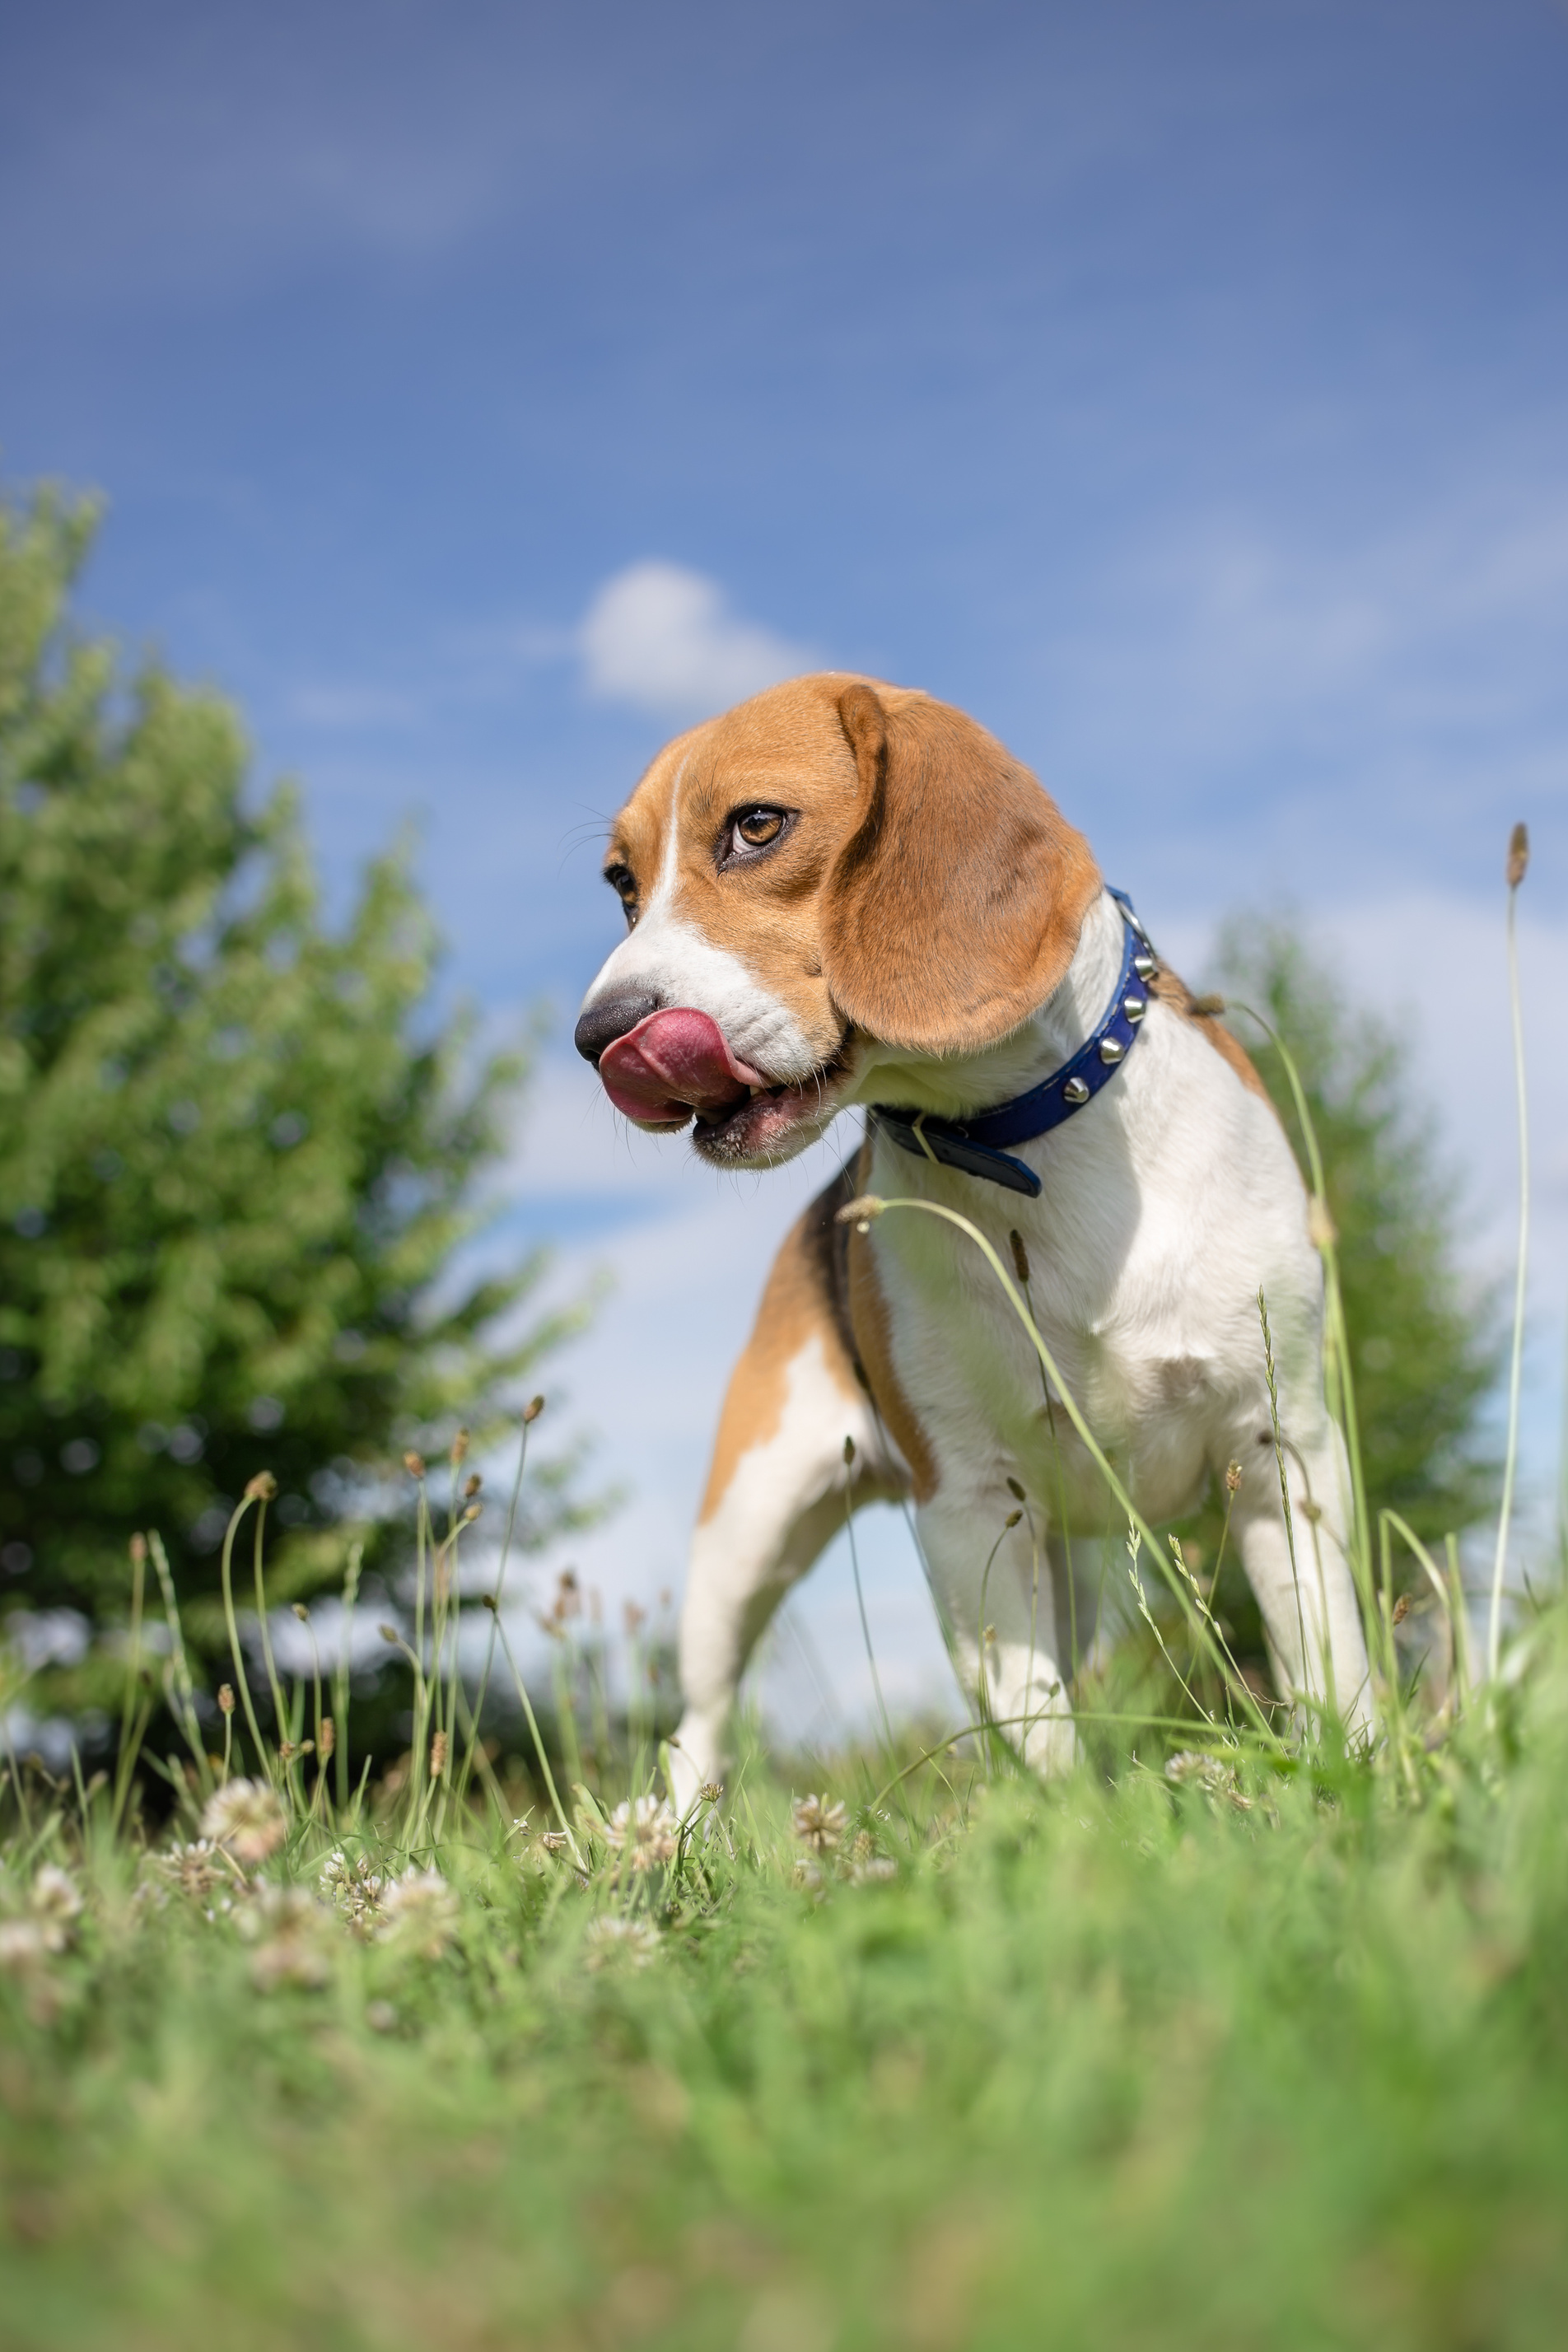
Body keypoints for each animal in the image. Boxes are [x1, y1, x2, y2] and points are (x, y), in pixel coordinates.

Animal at [571, 682, 1363, 1796]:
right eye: (622, 886)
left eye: (756, 826)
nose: (598, 1035)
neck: (1026, 1145)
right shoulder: (967, 1505)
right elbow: (1037, 1731)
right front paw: (1070, 1826)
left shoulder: (1280, 1444)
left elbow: (1328, 1663)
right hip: (744, 1534)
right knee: (701, 1721)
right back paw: (665, 1825)